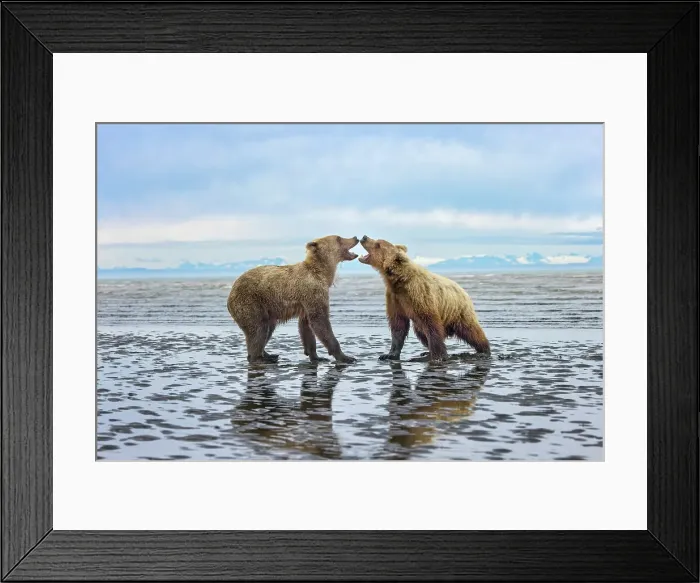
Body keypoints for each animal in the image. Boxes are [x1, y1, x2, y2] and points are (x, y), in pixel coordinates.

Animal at [227, 235, 359, 364]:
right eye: (339, 238)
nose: (356, 237)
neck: (323, 274)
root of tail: (231, 291)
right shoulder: (312, 291)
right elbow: (320, 320)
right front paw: (346, 357)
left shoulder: (306, 300)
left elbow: (306, 326)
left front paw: (316, 356)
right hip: (251, 302)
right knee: (259, 329)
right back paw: (258, 358)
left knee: (268, 328)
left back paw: (269, 355)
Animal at [358, 235, 490, 362]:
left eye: (378, 244)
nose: (364, 237)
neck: (399, 281)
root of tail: (463, 291)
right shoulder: (395, 298)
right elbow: (398, 324)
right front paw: (388, 355)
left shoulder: (419, 294)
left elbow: (431, 324)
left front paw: (437, 356)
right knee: (421, 332)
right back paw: (426, 352)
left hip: (458, 311)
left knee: (471, 330)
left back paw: (483, 350)